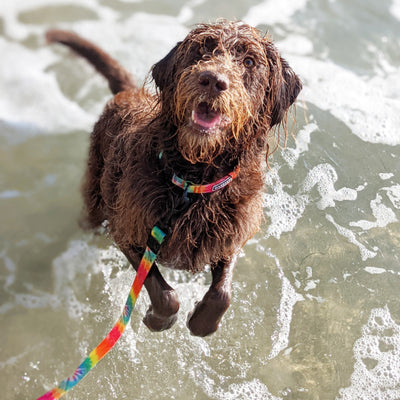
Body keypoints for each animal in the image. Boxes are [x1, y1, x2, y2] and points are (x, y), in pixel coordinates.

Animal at [47, 20, 302, 336]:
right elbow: (162, 290)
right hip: (96, 195)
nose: (212, 80)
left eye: (249, 61)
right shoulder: (128, 228)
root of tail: (129, 92)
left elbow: (222, 291)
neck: (192, 183)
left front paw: (203, 323)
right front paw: (159, 319)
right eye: (202, 49)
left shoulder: (231, 232)